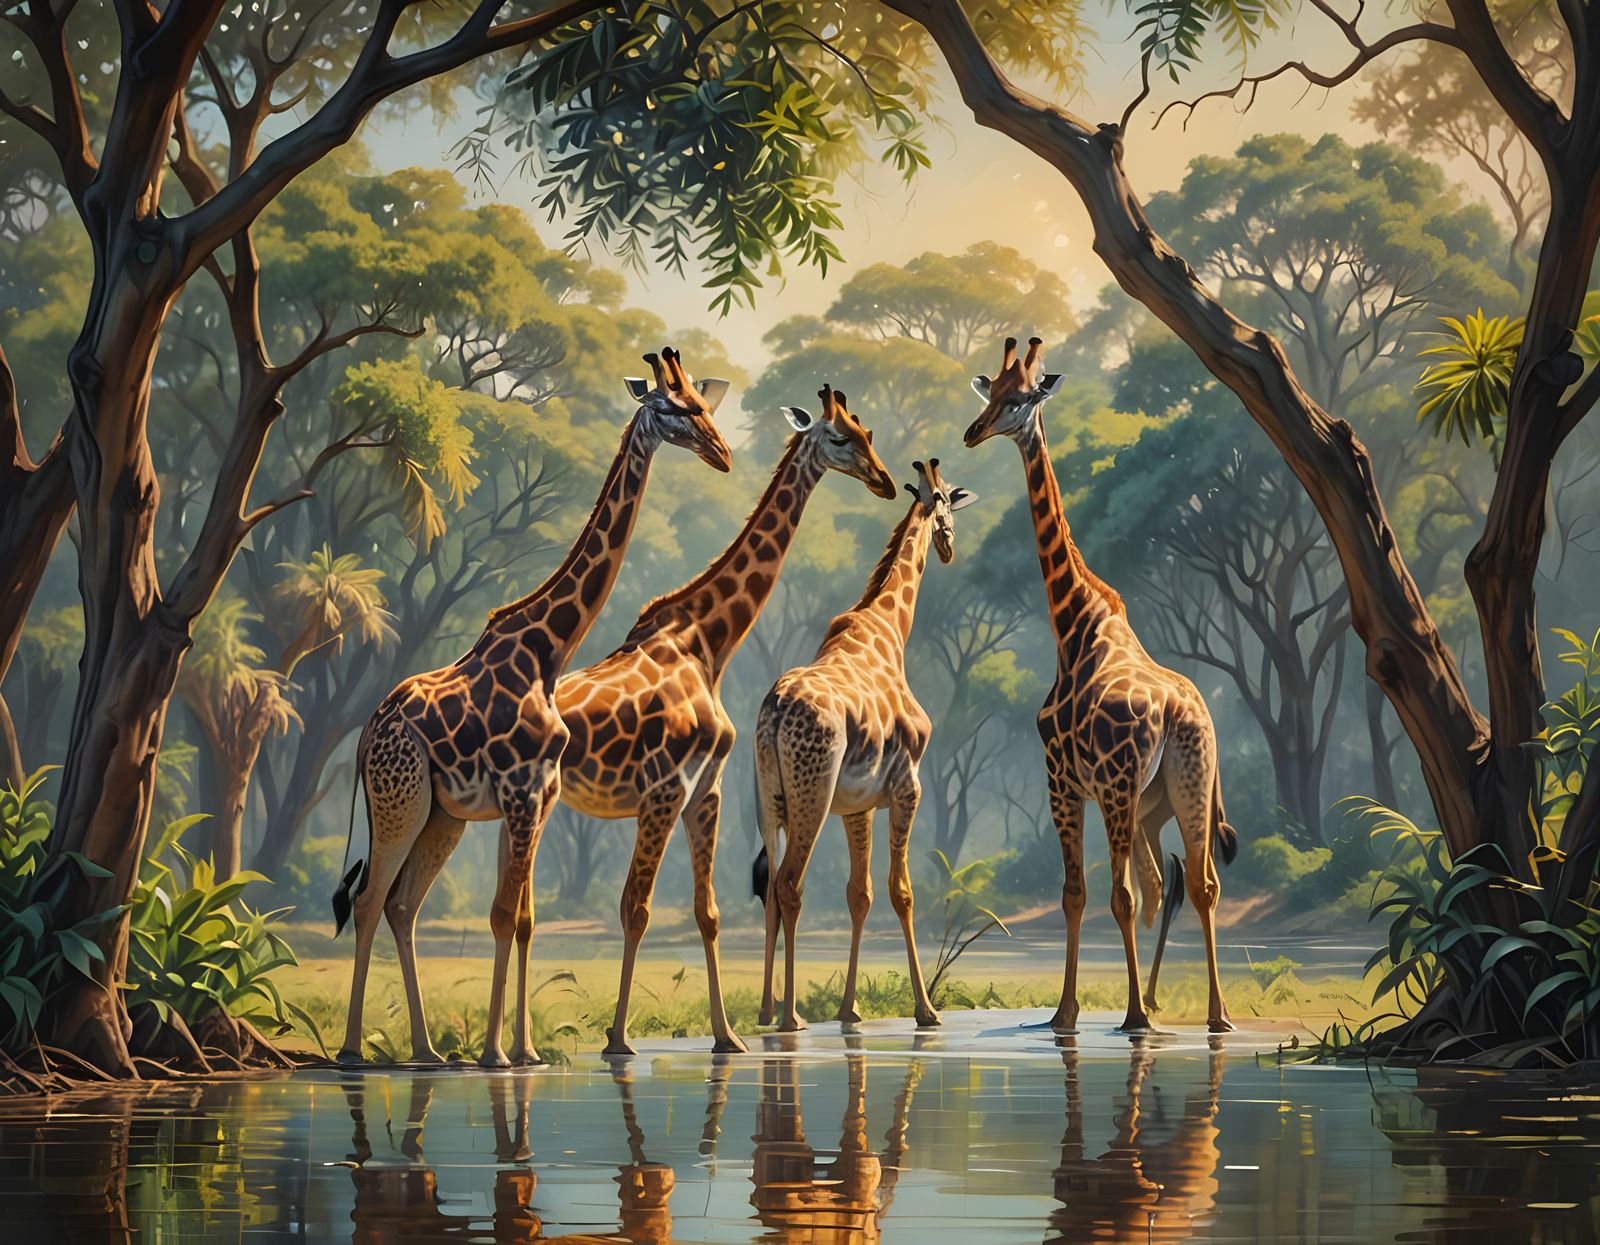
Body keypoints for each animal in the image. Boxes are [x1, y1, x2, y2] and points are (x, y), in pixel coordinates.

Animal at [331, 347, 733, 1068]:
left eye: (702, 402)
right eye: (672, 407)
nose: (721, 452)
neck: (549, 649)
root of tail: (367, 734)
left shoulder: (539, 793)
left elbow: (520, 917)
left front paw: (522, 1051)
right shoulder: (521, 792)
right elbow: (500, 914)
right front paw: (496, 1053)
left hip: (440, 814)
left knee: (403, 904)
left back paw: (427, 1049)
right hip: (400, 798)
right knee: (372, 898)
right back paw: (354, 1050)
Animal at [555, 384, 898, 1056]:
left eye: (866, 431)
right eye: (840, 437)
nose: (886, 481)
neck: (704, 640)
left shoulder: (702, 790)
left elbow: (707, 911)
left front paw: (728, 1036)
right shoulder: (664, 789)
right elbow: (636, 906)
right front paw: (618, 1039)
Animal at [751, 458, 977, 1032]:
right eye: (946, 501)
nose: (949, 546)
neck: (890, 631)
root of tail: (776, 711)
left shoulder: (857, 807)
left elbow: (861, 894)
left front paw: (849, 1008)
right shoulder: (907, 787)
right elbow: (902, 893)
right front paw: (926, 1010)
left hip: (769, 798)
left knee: (771, 889)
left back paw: (766, 1009)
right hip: (810, 798)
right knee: (789, 885)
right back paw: (791, 1017)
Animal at [963, 336, 1238, 1035]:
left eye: (1019, 399)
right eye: (990, 391)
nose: (974, 432)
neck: (1074, 623)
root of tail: (1177, 713)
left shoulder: (1061, 780)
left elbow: (1078, 892)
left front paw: (1066, 1013)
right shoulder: (1096, 789)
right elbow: (1104, 891)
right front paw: (1072, 1009)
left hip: (1121, 789)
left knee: (1131, 891)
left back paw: (1141, 1013)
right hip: (1187, 782)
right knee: (1198, 885)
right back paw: (1216, 1014)